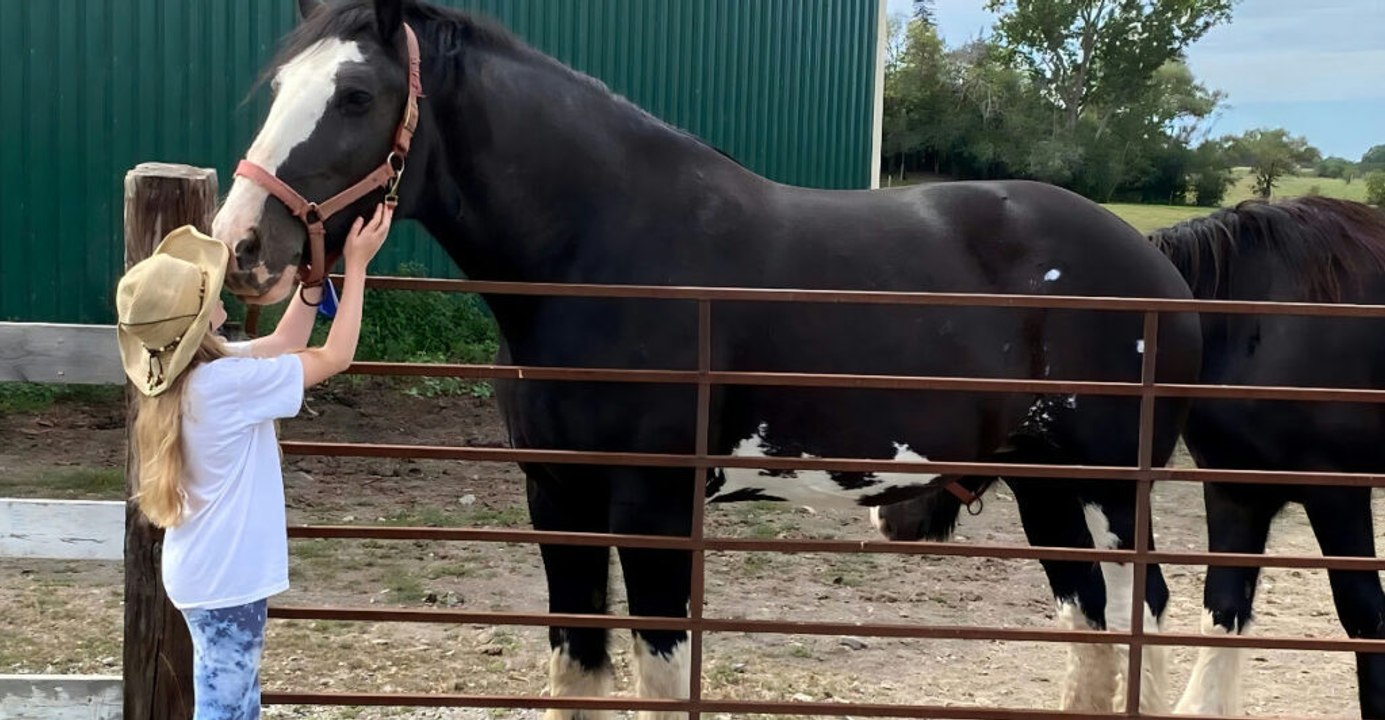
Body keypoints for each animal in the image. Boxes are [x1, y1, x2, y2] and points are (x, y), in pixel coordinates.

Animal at [210, 1, 1202, 717]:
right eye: (277, 88)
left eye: (355, 96)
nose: (241, 245)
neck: (604, 252)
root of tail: (1155, 261)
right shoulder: (557, 497)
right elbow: (577, 672)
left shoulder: (653, 508)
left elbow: (656, 675)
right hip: (1044, 487)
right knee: (1089, 627)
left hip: (1112, 492)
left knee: (1143, 614)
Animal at [875, 196, 1385, 717]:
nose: (889, 518)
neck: (1256, 322)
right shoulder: (1236, 492)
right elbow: (1223, 608)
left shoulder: (1336, 495)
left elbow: (1365, 618)